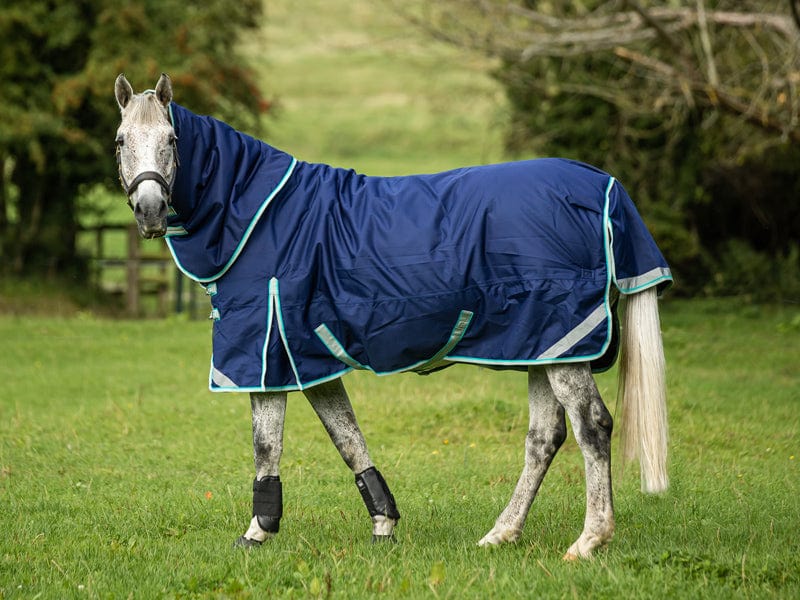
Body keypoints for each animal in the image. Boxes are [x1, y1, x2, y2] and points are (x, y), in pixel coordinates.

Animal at [113, 73, 671, 560]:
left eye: (171, 138)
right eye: (121, 141)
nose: (150, 210)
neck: (259, 217)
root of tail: (603, 185)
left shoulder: (264, 352)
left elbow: (266, 445)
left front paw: (257, 532)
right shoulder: (308, 358)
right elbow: (347, 439)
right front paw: (383, 523)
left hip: (563, 343)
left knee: (592, 426)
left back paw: (589, 540)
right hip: (542, 344)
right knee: (543, 438)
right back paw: (501, 533)